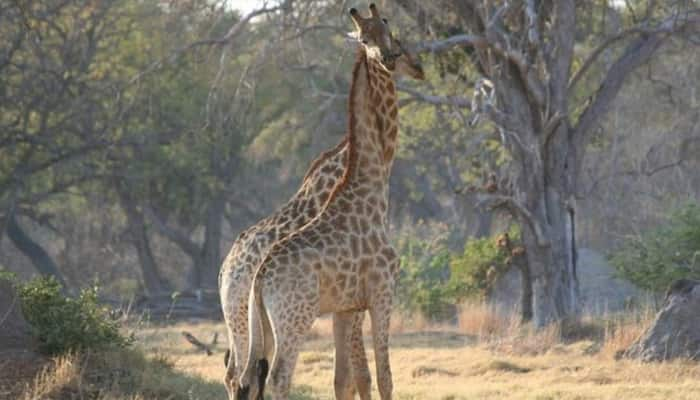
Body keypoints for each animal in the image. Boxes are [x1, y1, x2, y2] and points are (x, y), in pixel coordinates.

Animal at [238, 3, 424, 400]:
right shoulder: (382, 291)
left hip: (261, 324)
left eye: (387, 28)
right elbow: (384, 376)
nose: (393, 59)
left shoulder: (345, 307)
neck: (373, 189)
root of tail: (259, 280)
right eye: (365, 38)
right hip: (295, 318)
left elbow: (347, 378)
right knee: (278, 378)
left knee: (248, 377)